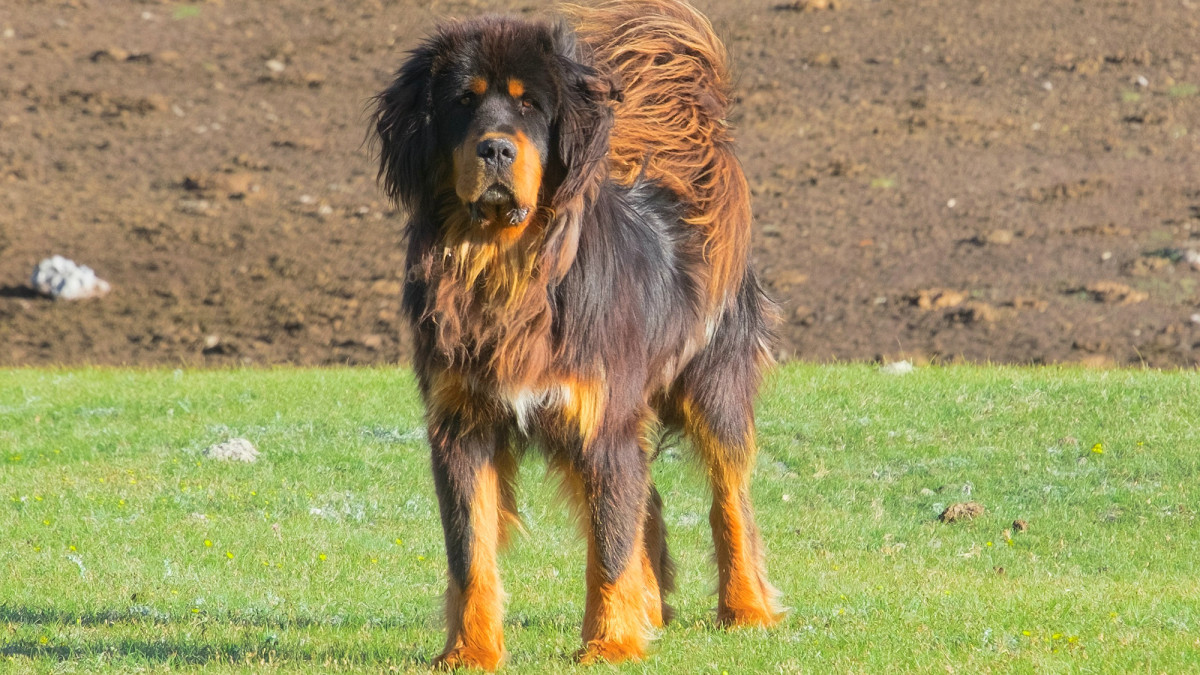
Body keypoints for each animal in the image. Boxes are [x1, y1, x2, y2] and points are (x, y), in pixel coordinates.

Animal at [374, 0, 787, 662]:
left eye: (530, 106)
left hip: (710, 388)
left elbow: (608, 548)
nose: (495, 150)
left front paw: (611, 644)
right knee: (646, 502)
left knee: (729, 499)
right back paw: (653, 608)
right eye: (463, 101)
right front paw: (469, 653)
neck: (506, 268)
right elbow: (471, 553)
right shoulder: (463, 424)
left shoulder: (600, 419)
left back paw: (745, 607)